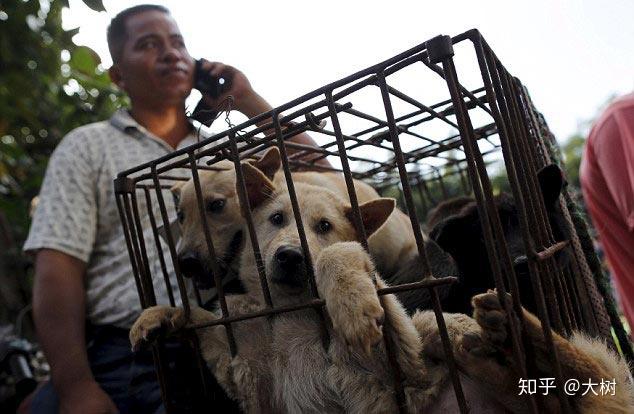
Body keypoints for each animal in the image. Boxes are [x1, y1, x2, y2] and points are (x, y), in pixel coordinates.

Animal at [130, 163, 632, 412]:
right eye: (275, 219)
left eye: (324, 227)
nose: (289, 256)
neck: (294, 312)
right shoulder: (253, 384)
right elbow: (202, 322)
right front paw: (161, 317)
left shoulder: (401, 361)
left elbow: (345, 256)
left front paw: (351, 305)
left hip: (431, 324)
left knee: (588, 378)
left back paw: (516, 329)